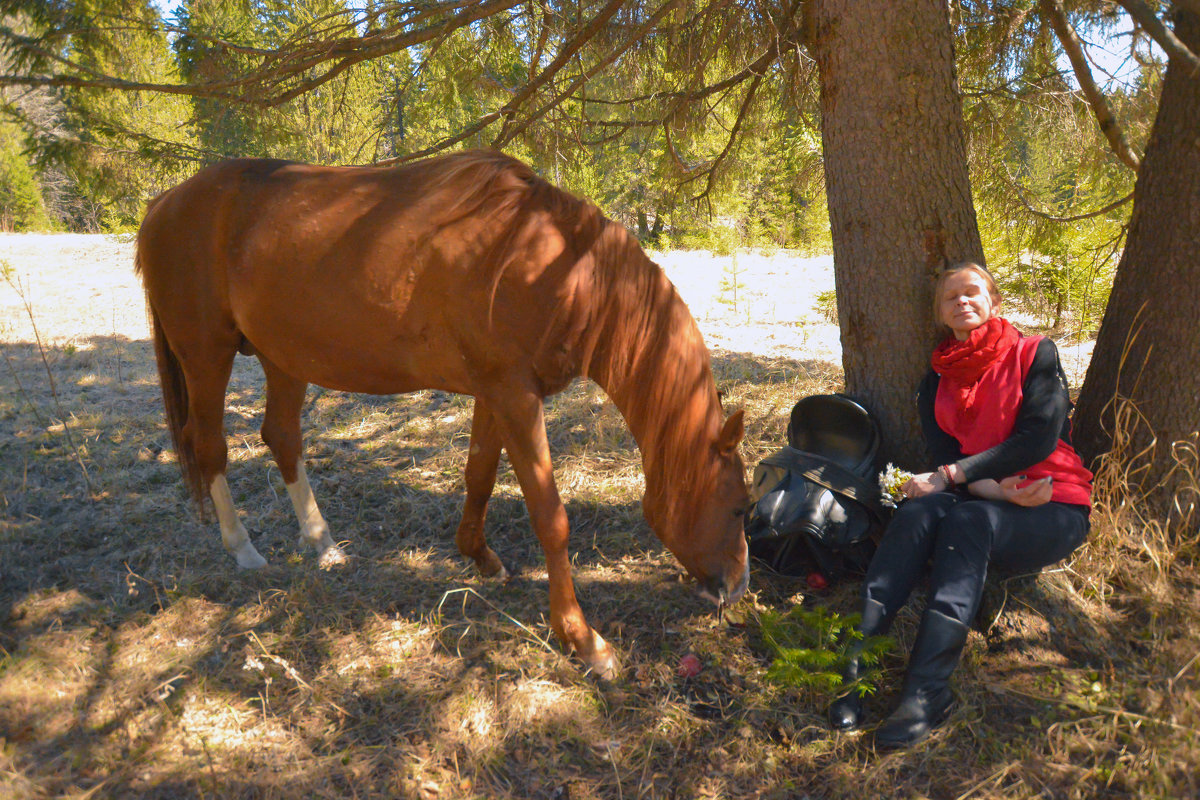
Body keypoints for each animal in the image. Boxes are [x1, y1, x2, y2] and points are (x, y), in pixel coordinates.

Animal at [136, 148, 744, 676]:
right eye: (737, 504)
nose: (737, 585)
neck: (550, 264)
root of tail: (164, 203)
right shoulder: (514, 396)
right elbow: (550, 517)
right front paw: (583, 640)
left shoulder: (497, 395)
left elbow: (479, 476)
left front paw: (480, 558)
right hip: (207, 355)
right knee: (209, 446)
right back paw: (243, 550)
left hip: (283, 357)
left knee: (281, 437)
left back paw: (324, 544)